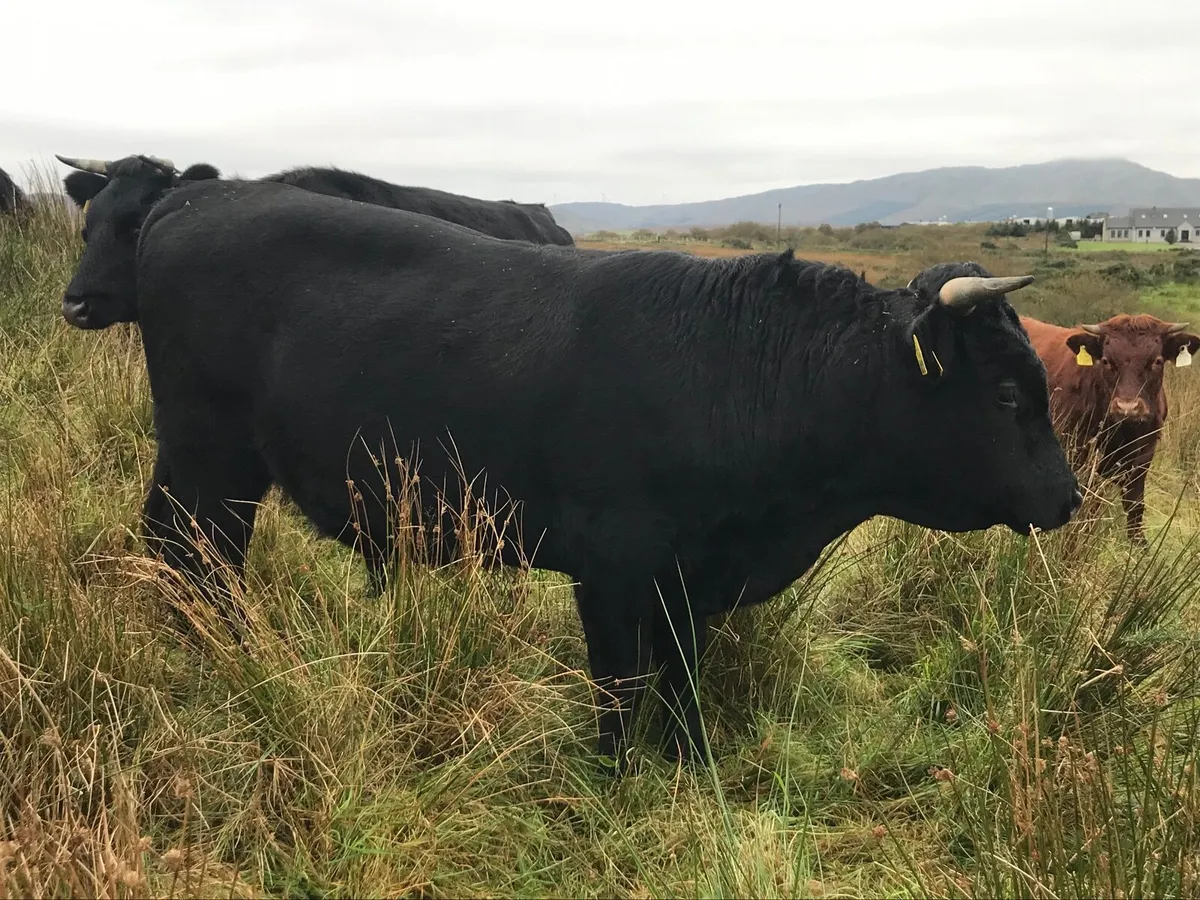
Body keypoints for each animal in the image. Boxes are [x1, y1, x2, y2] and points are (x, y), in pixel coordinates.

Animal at [86, 177, 1080, 769]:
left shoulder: (688, 579)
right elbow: (621, 682)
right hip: (204, 453)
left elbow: (682, 676)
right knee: (186, 553)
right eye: (1003, 392)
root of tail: (198, 197)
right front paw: (616, 774)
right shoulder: (613, 569)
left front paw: (690, 768)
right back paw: (225, 658)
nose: (1068, 497)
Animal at [1019, 312, 1200, 544]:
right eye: (1106, 361)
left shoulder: (1143, 456)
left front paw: (1138, 543)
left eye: (1157, 361)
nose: (1127, 408)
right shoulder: (1076, 450)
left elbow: (1135, 503)